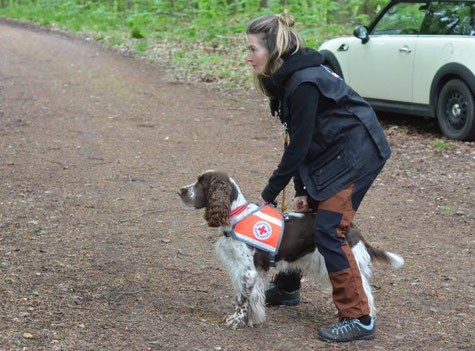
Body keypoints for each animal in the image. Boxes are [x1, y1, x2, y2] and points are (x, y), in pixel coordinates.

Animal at [177, 170, 404, 330]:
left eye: (201, 183)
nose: (180, 191)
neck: (237, 217)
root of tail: (353, 229)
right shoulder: (247, 270)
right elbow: (249, 297)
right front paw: (252, 319)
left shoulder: (248, 271)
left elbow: (241, 298)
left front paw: (237, 321)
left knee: (364, 292)